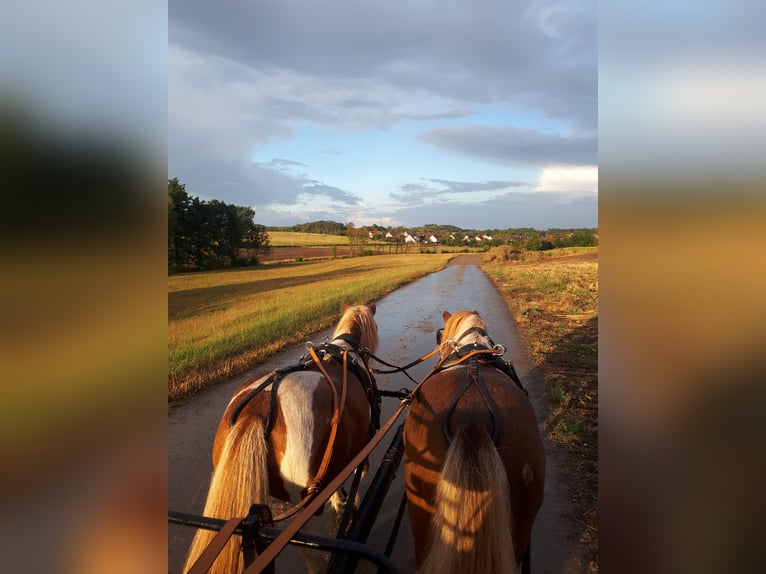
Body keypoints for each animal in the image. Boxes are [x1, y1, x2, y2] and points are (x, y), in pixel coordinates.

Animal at [184, 304, 380, 572]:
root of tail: (256, 410)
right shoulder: (362, 450)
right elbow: (357, 481)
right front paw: (348, 507)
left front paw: (339, 502)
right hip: (304, 503)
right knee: (306, 544)